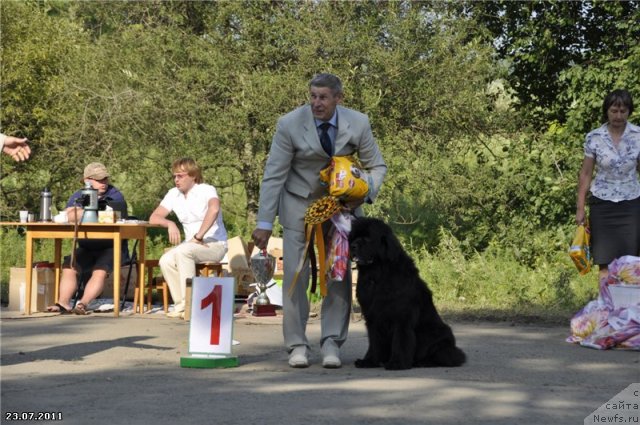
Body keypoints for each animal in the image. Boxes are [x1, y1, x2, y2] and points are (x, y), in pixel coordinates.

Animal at [350, 217, 464, 370]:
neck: (378, 276)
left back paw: (423, 362)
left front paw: (397, 363)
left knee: (446, 356)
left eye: (368, 238)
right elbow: (374, 342)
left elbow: (401, 340)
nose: (352, 246)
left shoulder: (402, 317)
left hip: (439, 335)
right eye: (354, 237)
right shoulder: (372, 317)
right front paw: (369, 361)